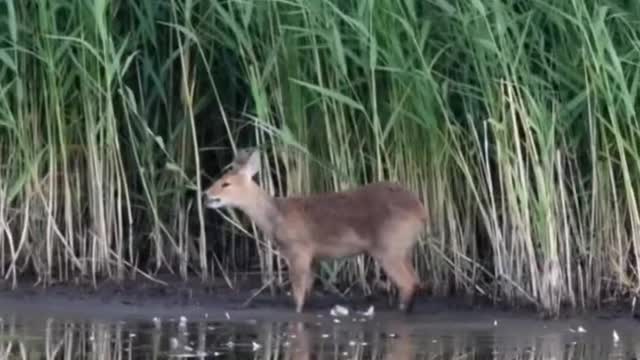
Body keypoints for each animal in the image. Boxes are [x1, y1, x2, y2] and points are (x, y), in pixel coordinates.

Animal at [202, 148, 428, 314]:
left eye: (225, 183)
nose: (205, 195)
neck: (276, 216)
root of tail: (421, 211)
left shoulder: (298, 250)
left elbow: (298, 292)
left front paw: (297, 313)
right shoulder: (314, 257)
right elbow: (308, 291)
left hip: (388, 247)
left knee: (408, 283)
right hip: (402, 248)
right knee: (415, 280)